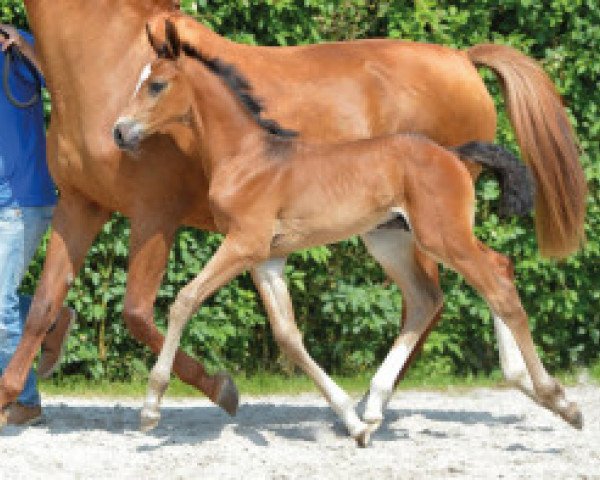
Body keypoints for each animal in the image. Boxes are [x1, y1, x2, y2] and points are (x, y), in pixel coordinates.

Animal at [0, 0, 584, 428]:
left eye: (157, 84)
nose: (121, 132)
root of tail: (463, 59)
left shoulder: (160, 219)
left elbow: (150, 311)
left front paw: (203, 395)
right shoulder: (81, 206)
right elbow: (43, 304)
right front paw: (12, 397)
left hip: (432, 231)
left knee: (473, 285)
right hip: (396, 232)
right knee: (453, 289)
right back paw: (383, 407)